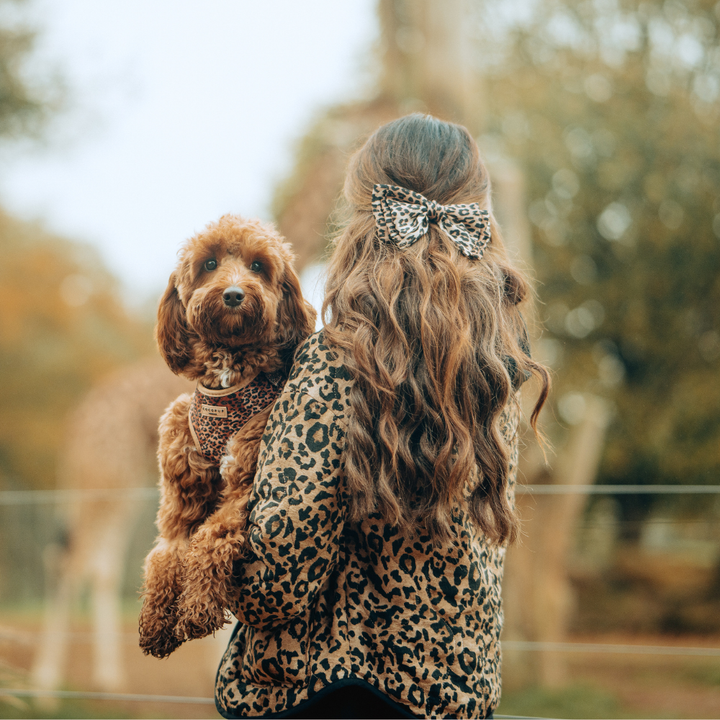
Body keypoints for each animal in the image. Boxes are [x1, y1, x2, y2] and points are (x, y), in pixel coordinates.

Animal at [138, 214, 316, 660]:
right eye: (209, 264)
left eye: (258, 266)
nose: (234, 294)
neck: (227, 378)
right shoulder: (181, 495)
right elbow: (167, 551)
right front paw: (156, 620)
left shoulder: (243, 485)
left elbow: (209, 538)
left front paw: (197, 609)